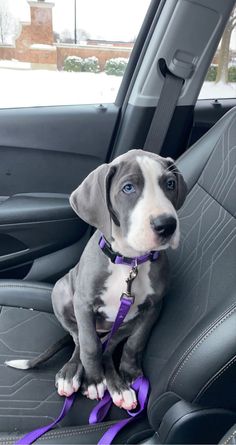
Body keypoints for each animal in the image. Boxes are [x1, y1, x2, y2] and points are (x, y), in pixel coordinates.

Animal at [6, 148, 187, 410]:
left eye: (170, 184)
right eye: (128, 188)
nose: (167, 225)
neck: (129, 262)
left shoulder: (154, 307)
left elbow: (136, 342)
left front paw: (129, 373)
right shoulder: (83, 304)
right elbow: (89, 346)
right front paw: (92, 380)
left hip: (123, 324)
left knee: (108, 347)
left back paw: (120, 388)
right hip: (61, 292)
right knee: (80, 340)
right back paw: (71, 374)